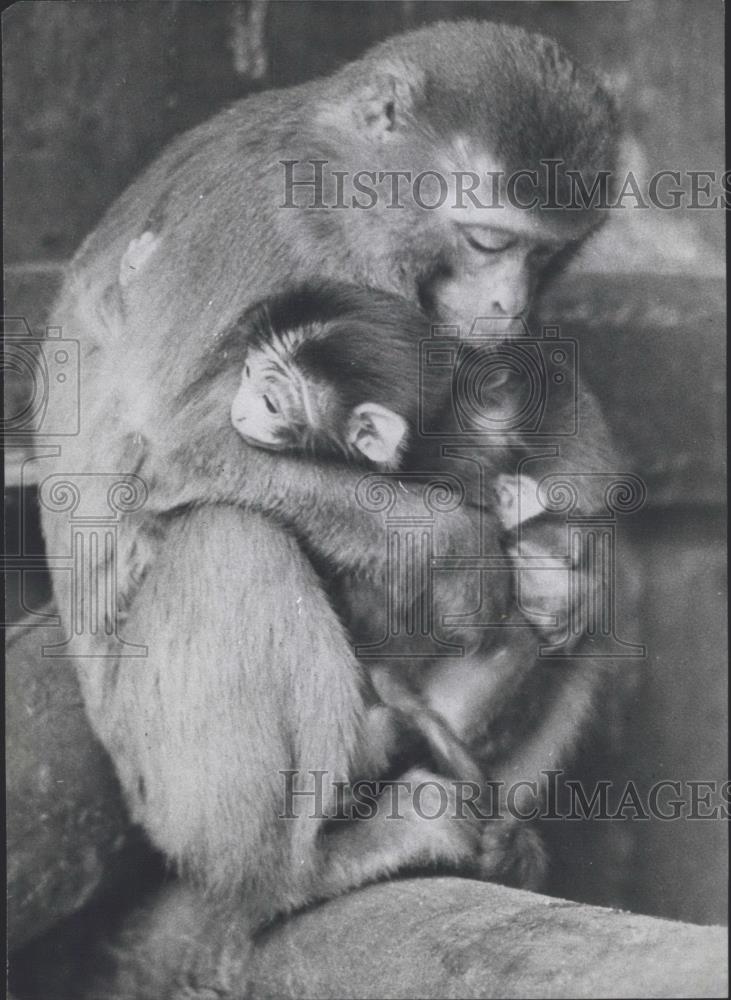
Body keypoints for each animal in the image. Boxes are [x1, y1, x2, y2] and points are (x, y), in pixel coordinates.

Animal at [41, 19, 624, 988]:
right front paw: (459, 551)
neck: (332, 165)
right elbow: (181, 443)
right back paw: (298, 866)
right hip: (155, 779)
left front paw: (568, 560)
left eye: (545, 253)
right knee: (229, 537)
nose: (506, 297)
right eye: (487, 240)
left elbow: (517, 393)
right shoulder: (293, 236)